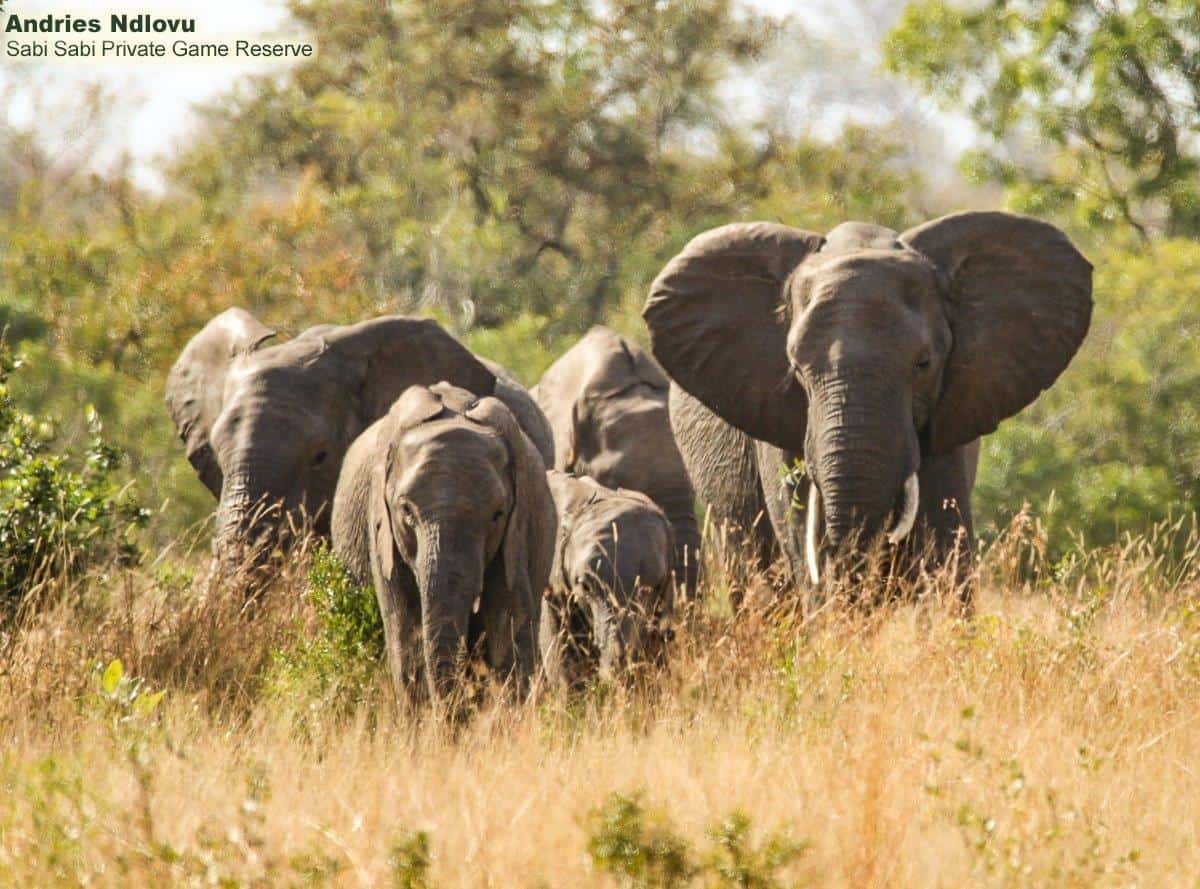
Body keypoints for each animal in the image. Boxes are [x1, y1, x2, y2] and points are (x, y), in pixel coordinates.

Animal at [330, 383, 556, 704]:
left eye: (498, 514)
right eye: (406, 511)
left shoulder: (518, 530)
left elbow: (509, 621)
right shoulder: (382, 531)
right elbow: (405, 634)